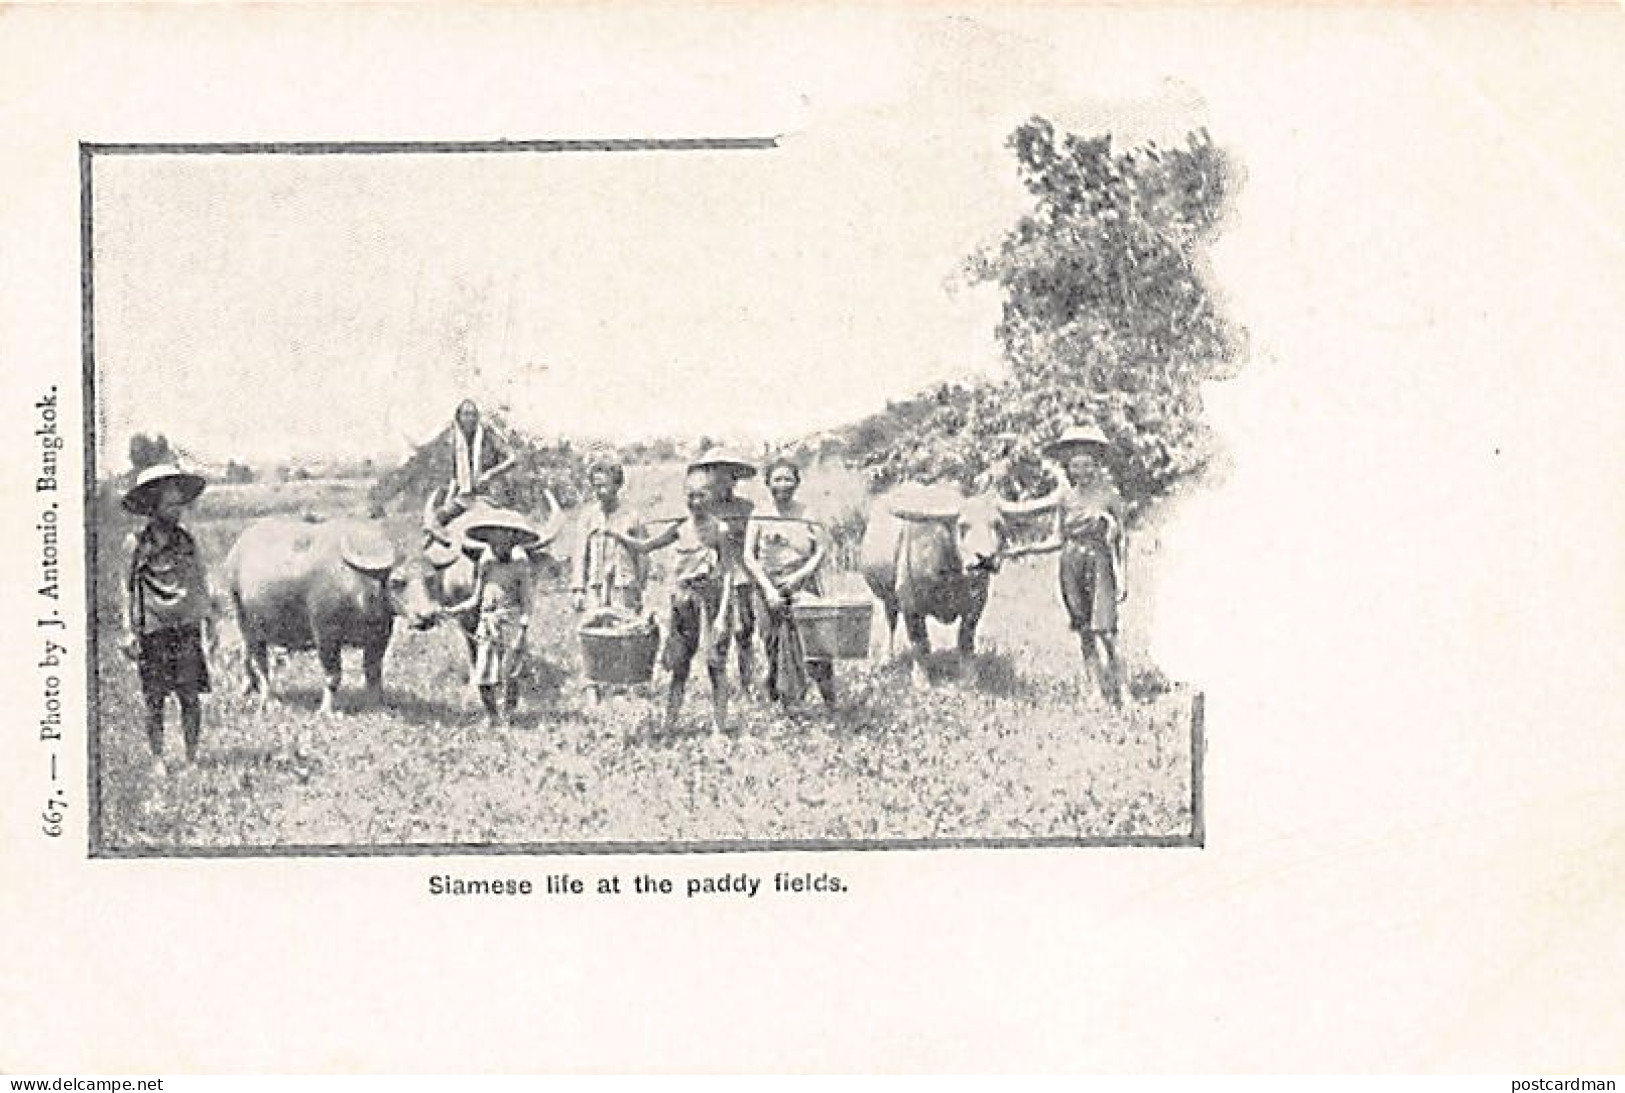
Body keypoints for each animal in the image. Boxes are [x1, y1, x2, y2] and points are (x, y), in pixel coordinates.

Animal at [224, 519, 445, 714]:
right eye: (397, 581)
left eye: (430, 578)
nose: (427, 616)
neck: (358, 585)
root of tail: (236, 550)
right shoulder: (326, 635)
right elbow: (333, 675)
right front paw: (326, 710)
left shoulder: (380, 636)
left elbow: (373, 673)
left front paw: (378, 706)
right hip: (245, 620)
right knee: (261, 662)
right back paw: (268, 700)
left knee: (246, 653)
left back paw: (248, 688)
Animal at [864, 483, 1053, 682]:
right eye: (963, 526)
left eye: (998, 525)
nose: (986, 558)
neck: (951, 574)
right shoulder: (911, 604)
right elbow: (920, 643)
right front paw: (921, 680)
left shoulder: (976, 604)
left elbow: (965, 640)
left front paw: (969, 678)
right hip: (887, 596)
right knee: (891, 621)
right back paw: (887, 659)